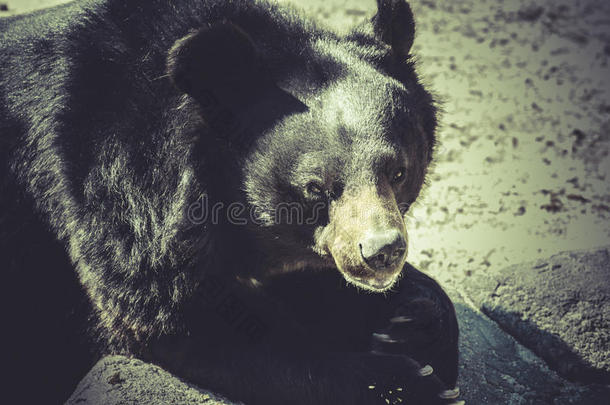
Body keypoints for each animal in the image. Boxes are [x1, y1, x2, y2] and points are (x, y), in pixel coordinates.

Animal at [0, 0, 456, 402]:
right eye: (315, 187)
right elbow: (187, 325)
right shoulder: (114, 206)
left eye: (398, 173)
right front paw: (406, 384)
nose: (382, 253)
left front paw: (412, 322)